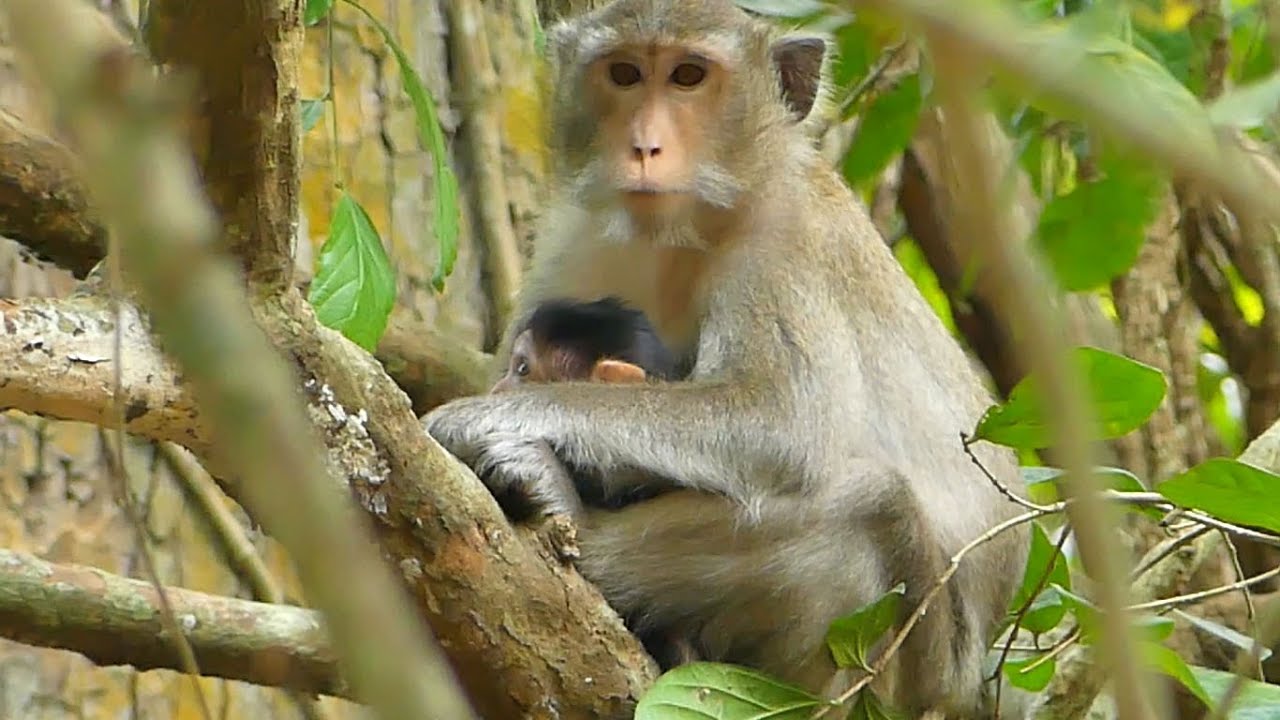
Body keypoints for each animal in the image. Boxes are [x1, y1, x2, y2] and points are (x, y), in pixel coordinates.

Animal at [422, 1, 1029, 717]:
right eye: (624, 73)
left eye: (689, 75)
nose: (644, 146)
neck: (686, 232)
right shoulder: (572, 238)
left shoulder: (783, 245)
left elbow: (780, 421)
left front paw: (479, 420)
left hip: (907, 667)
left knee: (872, 508)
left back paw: (575, 521)